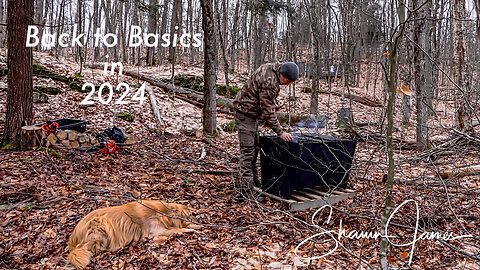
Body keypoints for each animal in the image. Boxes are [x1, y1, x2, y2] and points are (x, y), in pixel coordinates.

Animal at [67, 199, 199, 268]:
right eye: (189, 214)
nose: (197, 217)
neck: (162, 212)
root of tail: (72, 239)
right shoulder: (158, 231)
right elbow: (177, 229)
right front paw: (194, 229)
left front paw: (198, 226)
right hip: (100, 222)